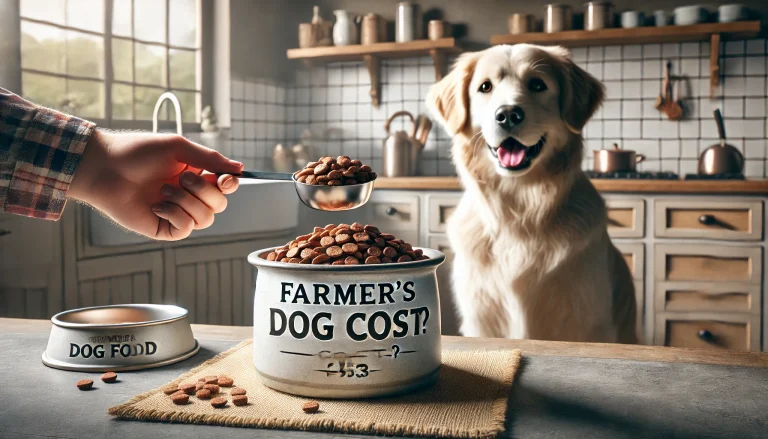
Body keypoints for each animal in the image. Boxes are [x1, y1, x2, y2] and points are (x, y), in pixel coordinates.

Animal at [426, 45, 636, 348]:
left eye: (537, 84)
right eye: (485, 87)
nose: (508, 114)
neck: (520, 209)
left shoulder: (588, 323)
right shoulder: (481, 317)